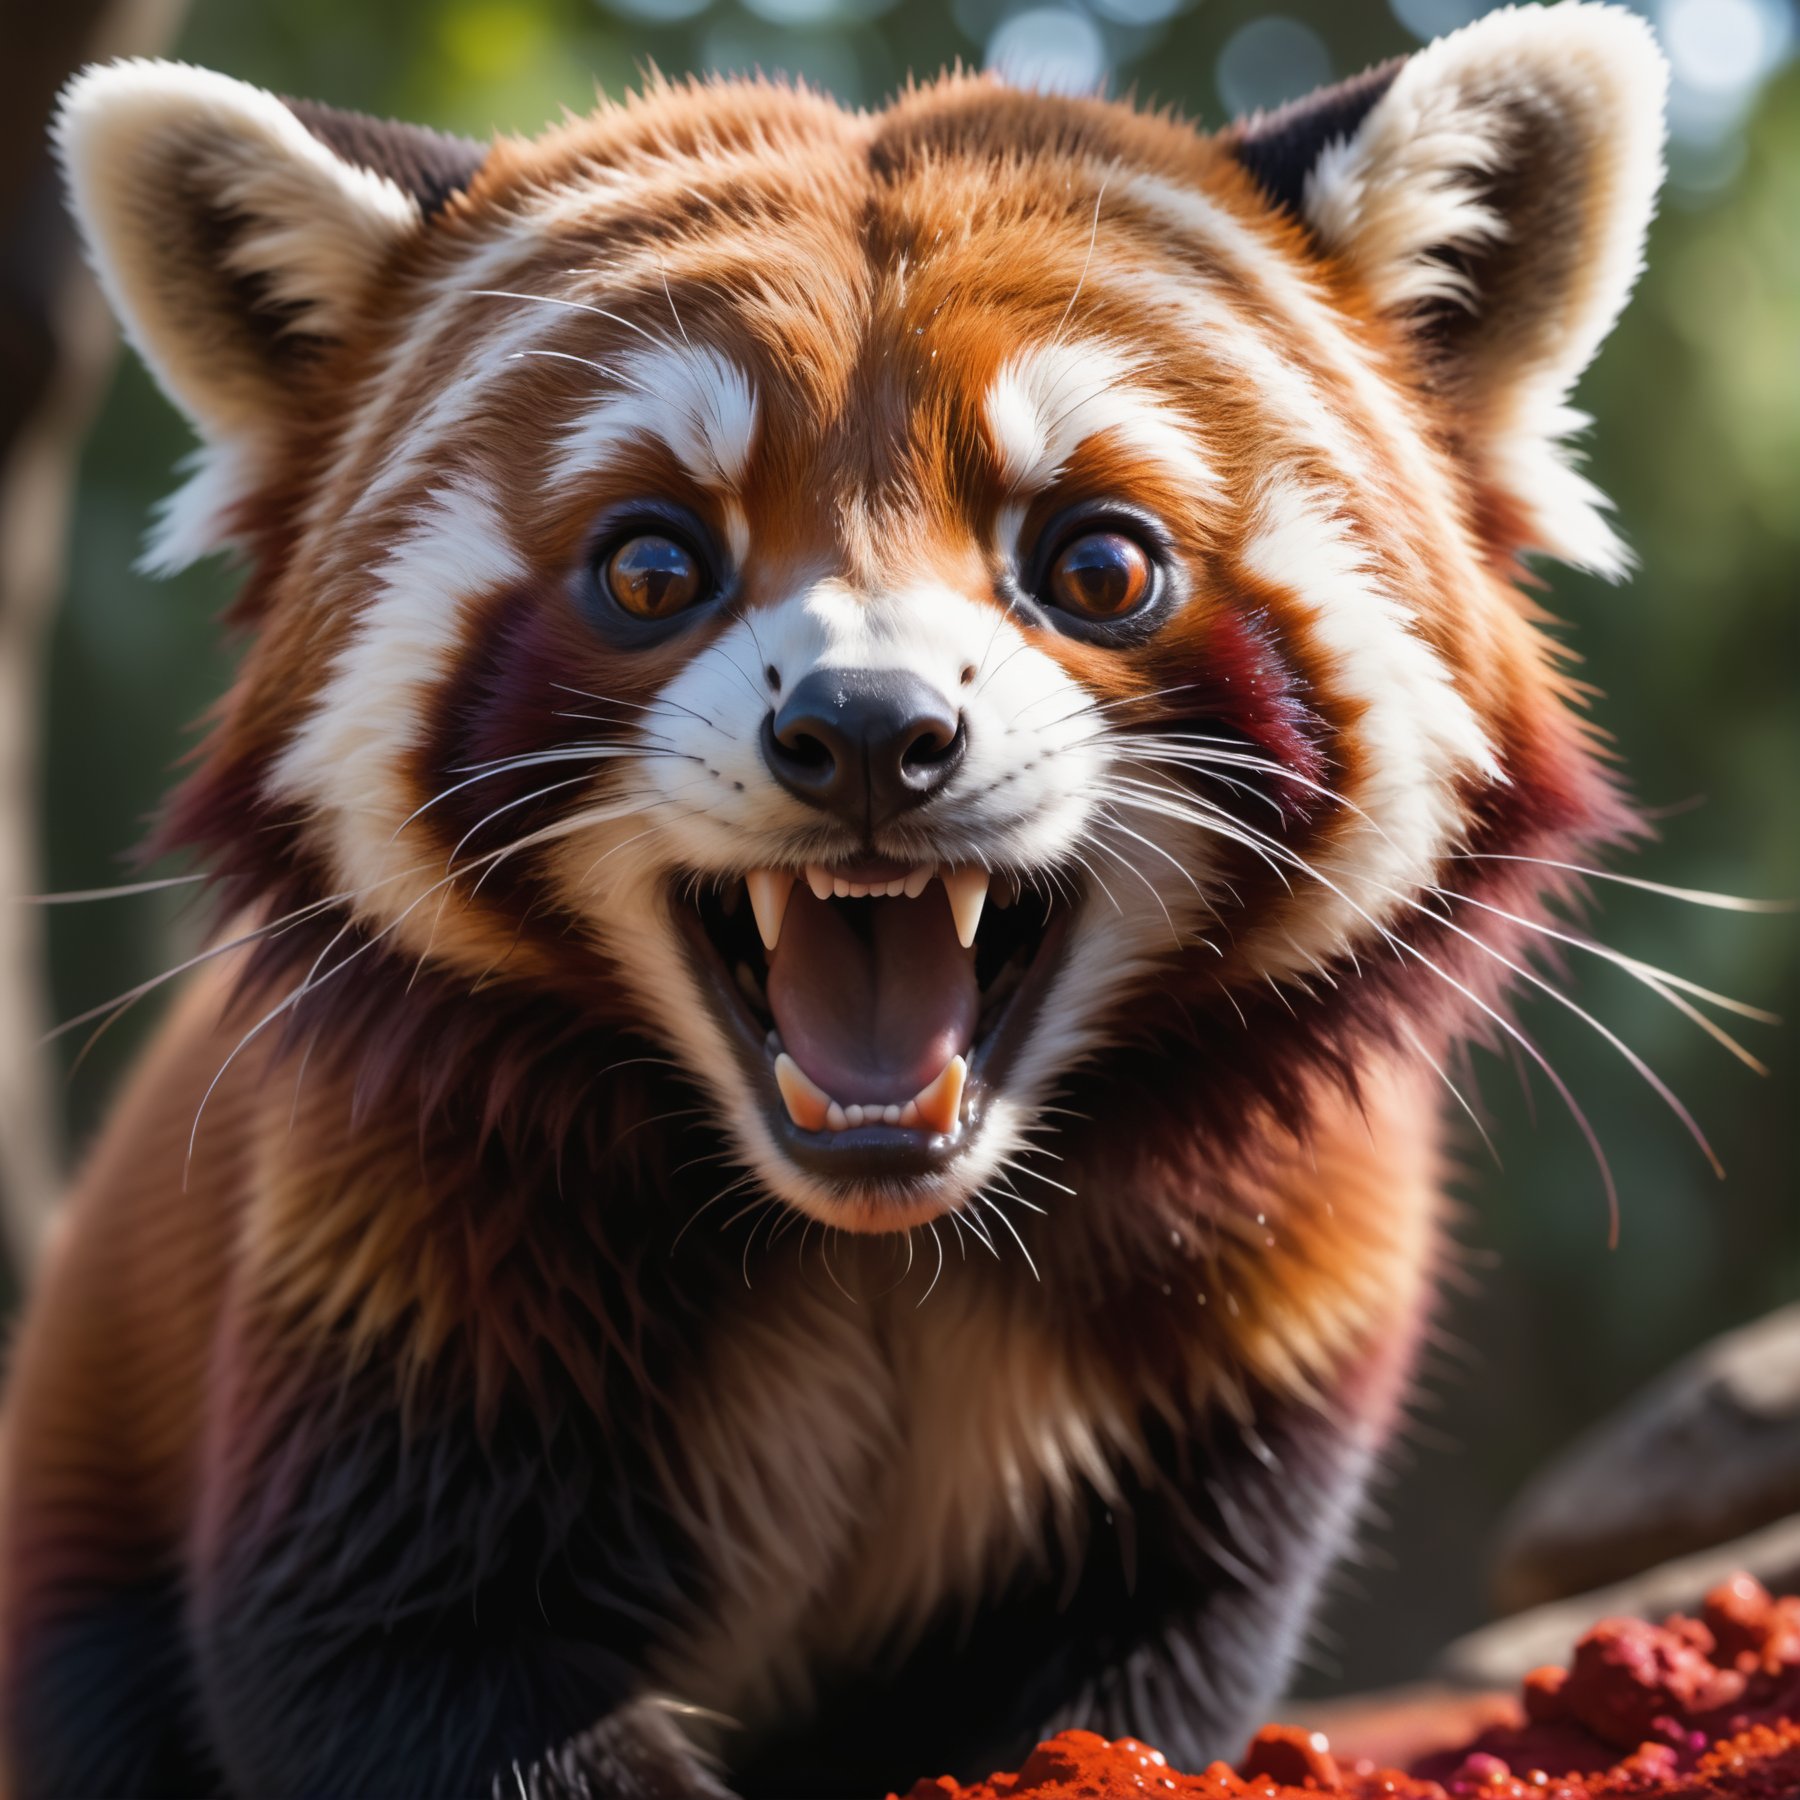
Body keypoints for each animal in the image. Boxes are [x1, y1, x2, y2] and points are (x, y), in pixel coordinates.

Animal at [3, 7, 1670, 1792]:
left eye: (1098, 564)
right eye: (653, 566)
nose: (870, 731)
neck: (875, 1240)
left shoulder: (1255, 1320)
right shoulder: (386, 1253)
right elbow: (390, 1663)